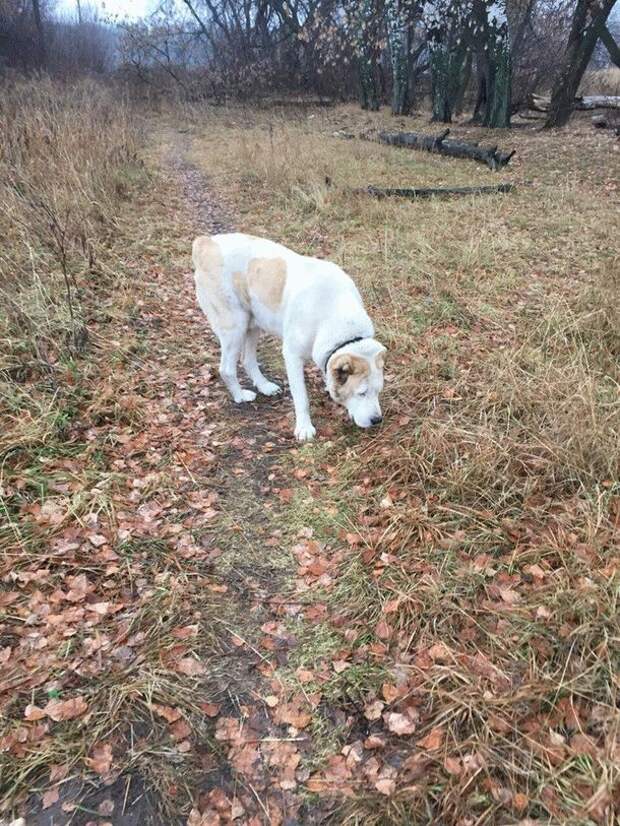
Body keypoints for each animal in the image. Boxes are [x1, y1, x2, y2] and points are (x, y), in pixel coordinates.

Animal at [194, 232, 386, 438]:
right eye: (361, 393)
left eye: (378, 391)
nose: (377, 420)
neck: (337, 315)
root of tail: (206, 242)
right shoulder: (292, 356)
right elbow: (301, 398)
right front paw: (304, 428)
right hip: (235, 327)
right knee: (227, 369)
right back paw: (241, 396)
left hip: (252, 324)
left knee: (247, 360)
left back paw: (265, 386)